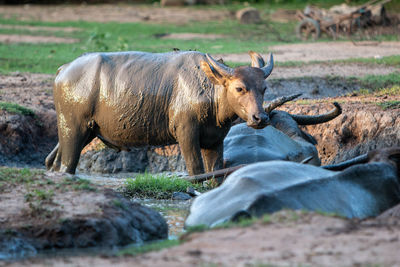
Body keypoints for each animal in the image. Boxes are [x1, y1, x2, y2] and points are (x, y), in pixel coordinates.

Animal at [45, 50, 274, 177]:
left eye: (264, 88)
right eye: (239, 88)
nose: (260, 118)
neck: (209, 92)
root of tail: (63, 69)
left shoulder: (215, 140)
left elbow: (214, 174)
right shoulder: (186, 132)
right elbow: (196, 170)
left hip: (83, 131)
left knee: (53, 162)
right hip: (73, 128)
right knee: (66, 166)